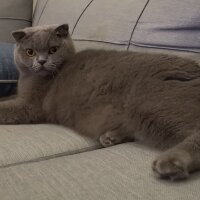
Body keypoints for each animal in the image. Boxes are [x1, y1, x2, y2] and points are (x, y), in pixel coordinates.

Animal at [1, 23, 200, 181]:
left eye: (53, 50)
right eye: (30, 52)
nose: (42, 61)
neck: (28, 79)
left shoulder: (32, 105)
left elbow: (7, 108)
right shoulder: (21, 96)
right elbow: (7, 98)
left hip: (150, 105)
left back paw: (170, 163)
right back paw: (111, 136)